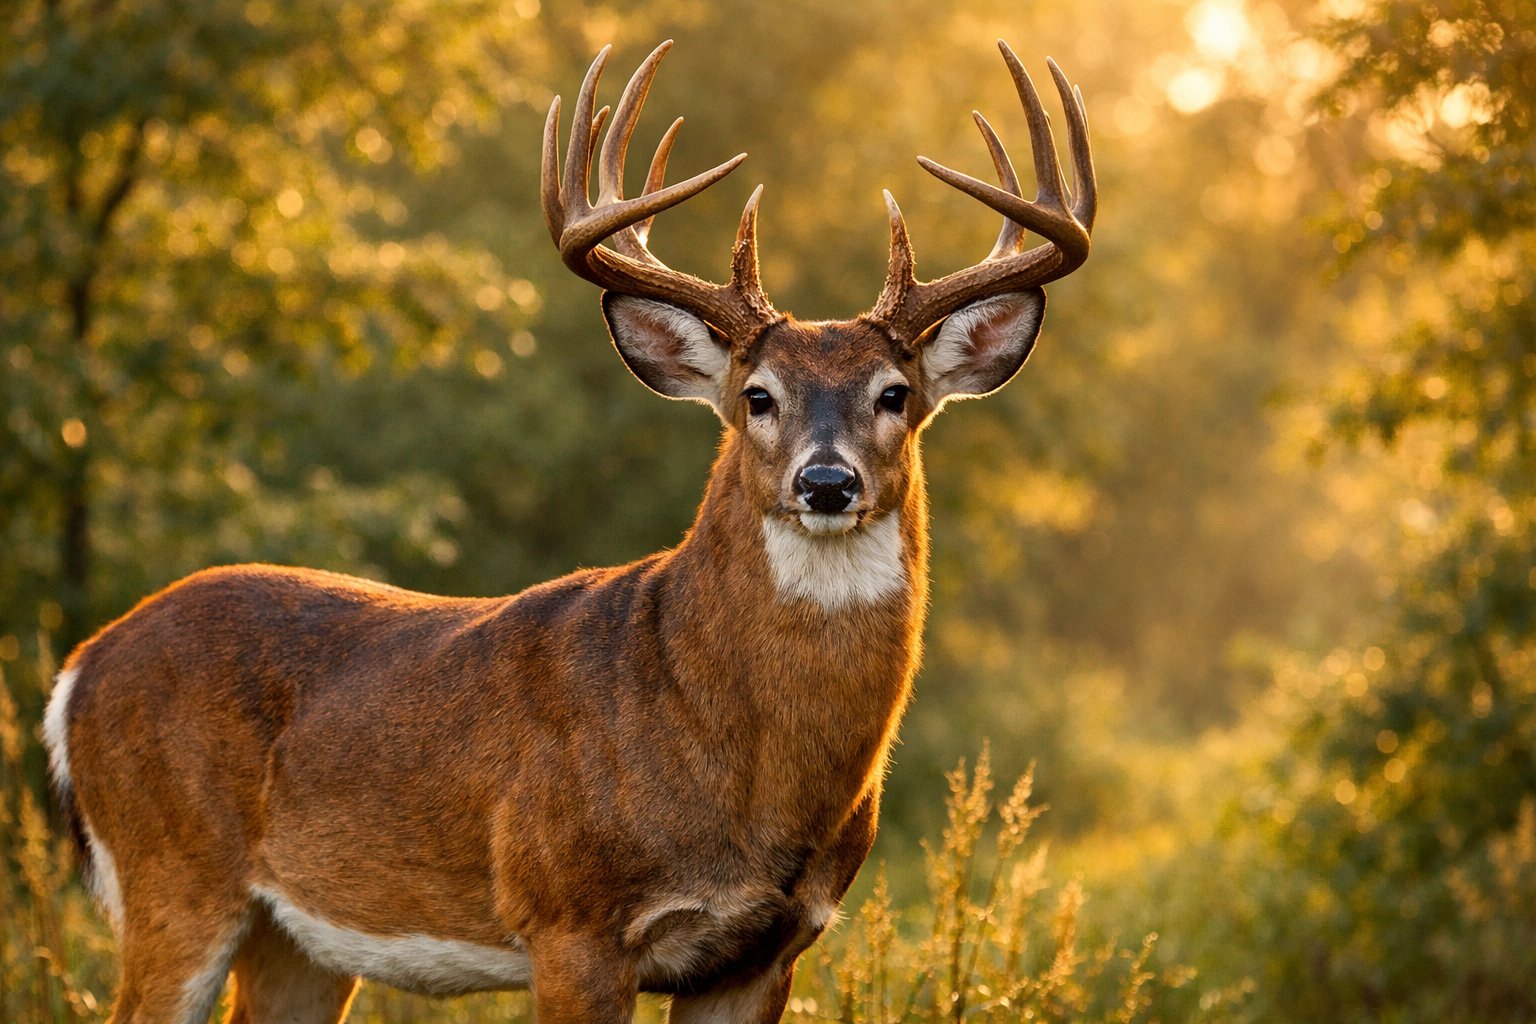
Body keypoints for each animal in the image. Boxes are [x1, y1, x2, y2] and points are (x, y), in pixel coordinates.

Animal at [43, 38, 1095, 1024]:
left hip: (298, 938)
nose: (827, 481)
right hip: (174, 869)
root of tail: (80, 667)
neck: (730, 750)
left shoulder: (769, 949)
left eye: (895, 395)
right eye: (757, 396)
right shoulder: (569, 916)